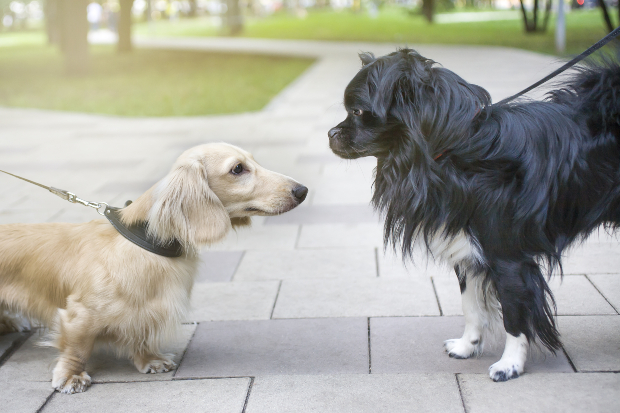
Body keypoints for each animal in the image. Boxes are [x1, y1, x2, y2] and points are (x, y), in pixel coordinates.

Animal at [0, 143, 308, 394]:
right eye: (237, 168)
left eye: (253, 161)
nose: (302, 190)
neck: (148, 245)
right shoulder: (78, 315)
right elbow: (77, 347)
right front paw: (70, 376)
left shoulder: (145, 312)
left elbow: (141, 336)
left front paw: (150, 359)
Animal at [330, 47, 620, 380]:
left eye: (357, 112)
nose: (330, 133)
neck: (457, 149)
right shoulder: (467, 250)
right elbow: (471, 306)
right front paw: (467, 347)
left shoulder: (509, 260)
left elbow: (514, 316)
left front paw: (510, 365)